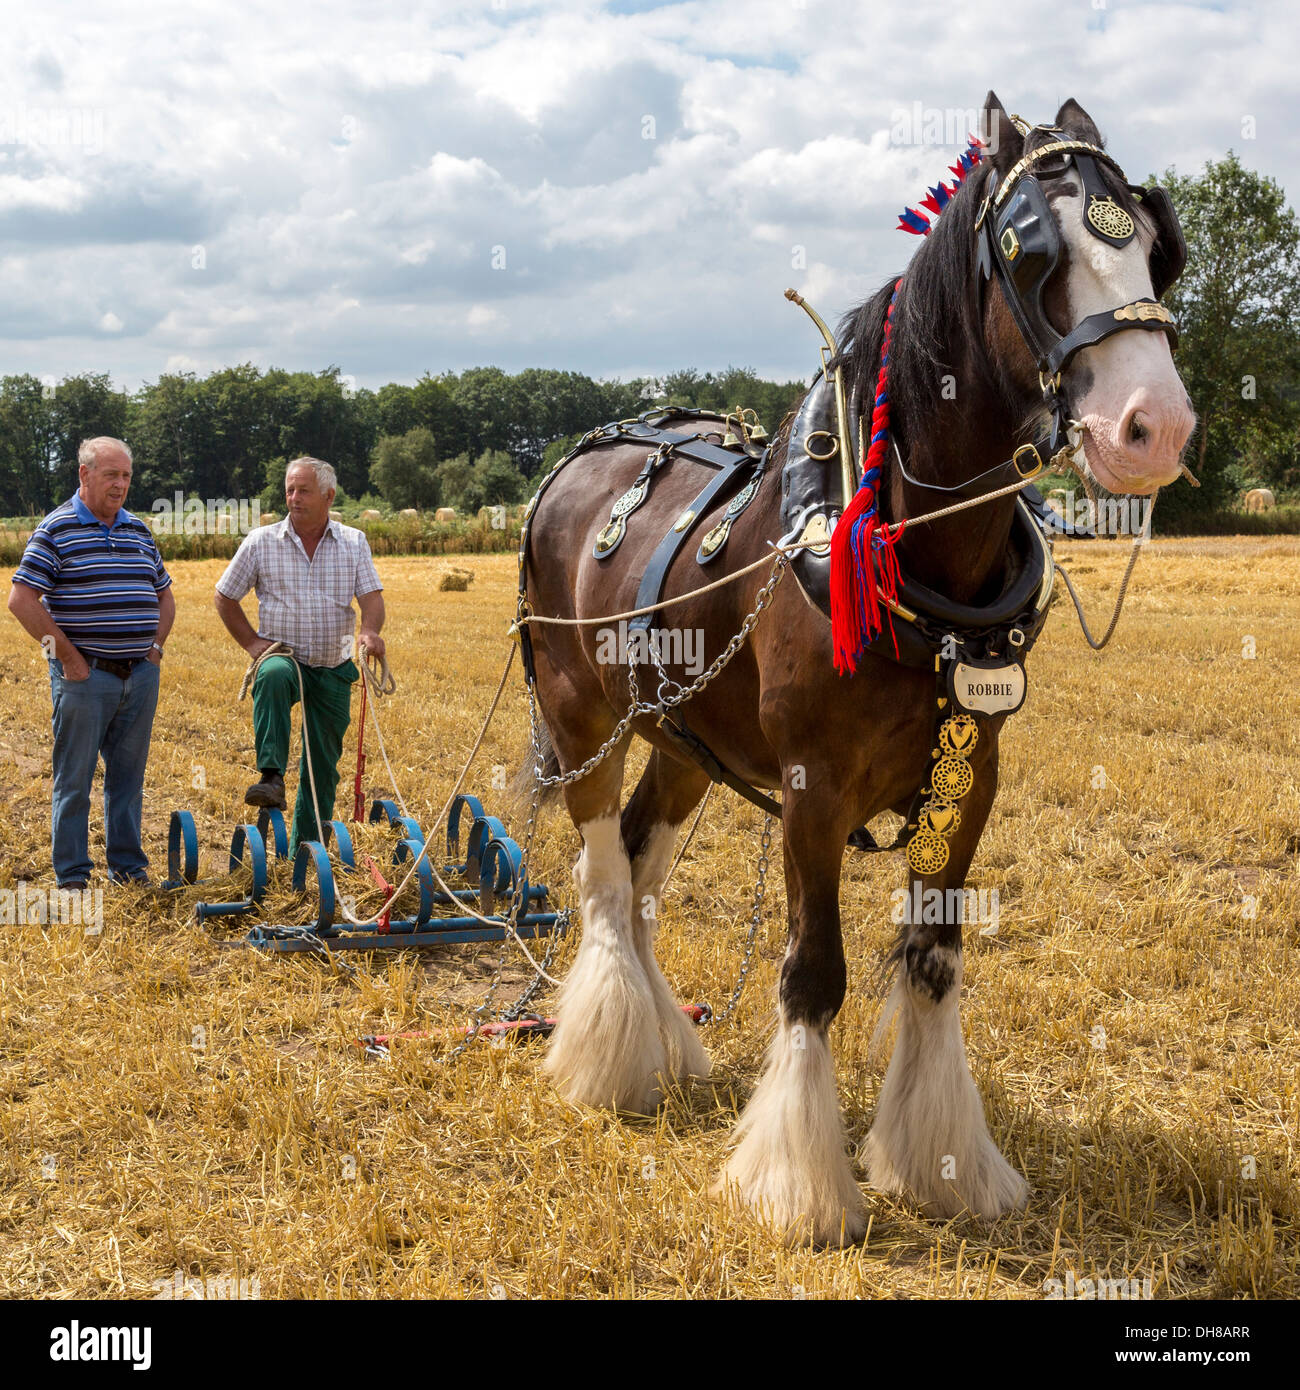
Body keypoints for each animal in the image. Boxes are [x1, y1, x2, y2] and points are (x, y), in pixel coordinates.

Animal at [520, 97, 1201, 1251]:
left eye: (1156, 246)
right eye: (1028, 248)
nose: (1154, 426)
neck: (912, 553)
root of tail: (581, 457)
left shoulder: (971, 777)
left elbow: (932, 959)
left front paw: (943, 1165)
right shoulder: (813, 788)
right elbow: (814, 972)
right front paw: (797, 1186)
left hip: (685, 744)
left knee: (643, 869)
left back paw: (663, 1048)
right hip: (580, 718)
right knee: (604, 877)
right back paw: (609, 1059)